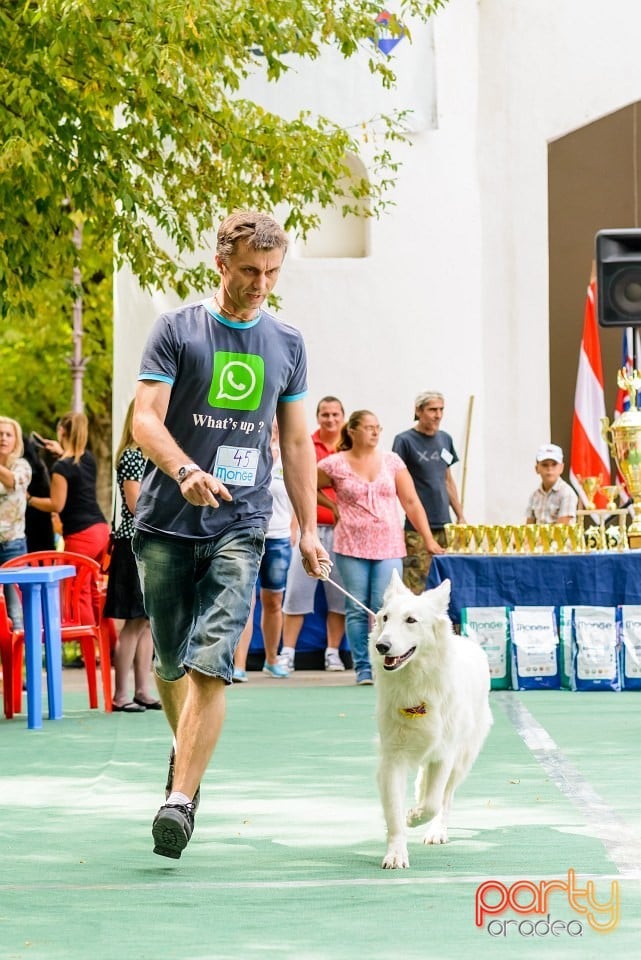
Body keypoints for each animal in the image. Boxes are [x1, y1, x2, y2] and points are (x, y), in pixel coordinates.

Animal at [368, 568, 492, 872]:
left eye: (411, 620)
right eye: (385, 618)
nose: (381, 646)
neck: (417, 687)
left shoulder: (443, 756)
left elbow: (433, 803)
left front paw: (413, 818)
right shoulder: (393, 759)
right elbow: (394, 812)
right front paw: (396, 852)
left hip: (461, 760)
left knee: (445, 799)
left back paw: (437, 830)